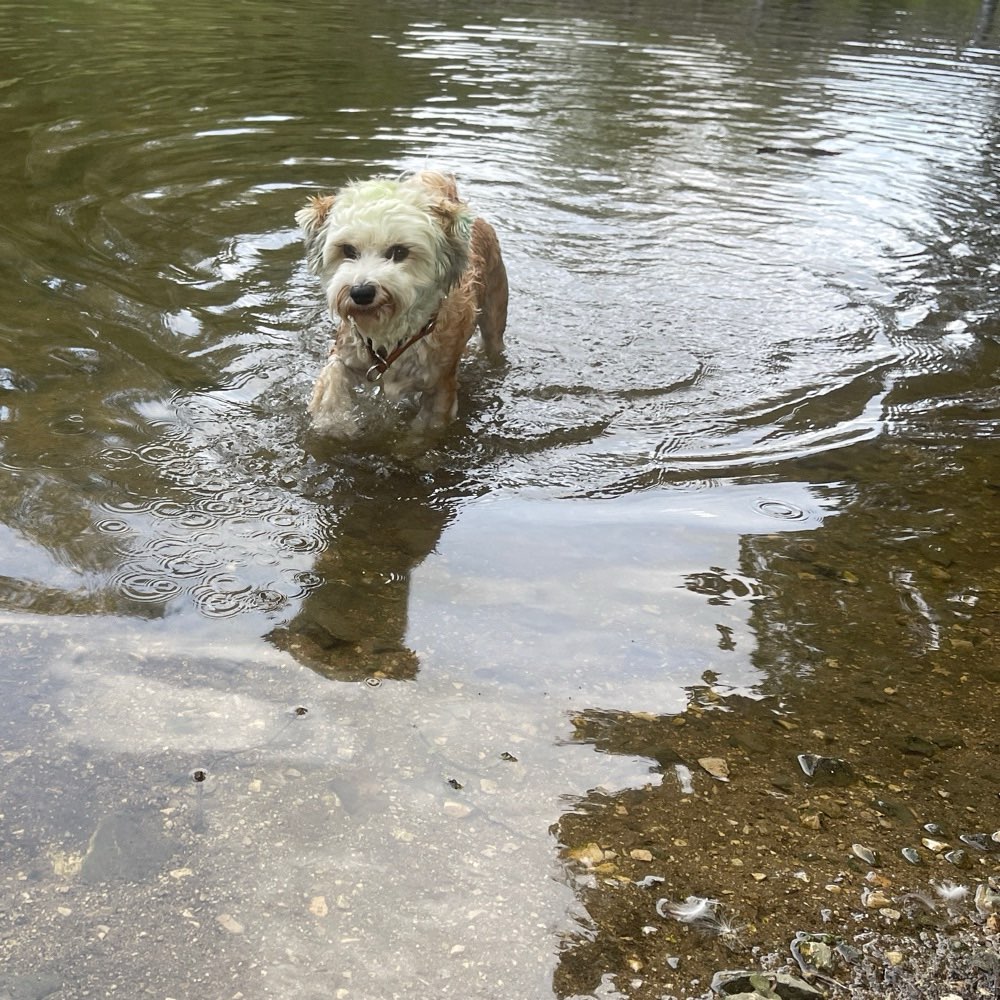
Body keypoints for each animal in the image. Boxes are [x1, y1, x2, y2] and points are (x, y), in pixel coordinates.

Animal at [292, 170, 504, 436]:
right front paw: (334, 421)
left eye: (399, 252)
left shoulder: (441, 388)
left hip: (495, 316)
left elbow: (425, 431)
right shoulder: (348, 352)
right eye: (348, 250)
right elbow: (333, 376)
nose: (361, 292)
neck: (392, 336)